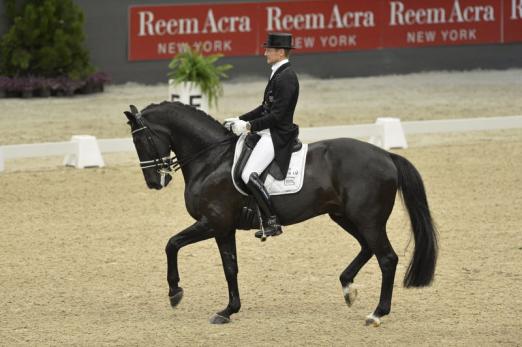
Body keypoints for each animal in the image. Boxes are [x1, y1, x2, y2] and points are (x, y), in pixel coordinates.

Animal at [124, 100, 436, 326]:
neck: (210, 160)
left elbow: (172, 244)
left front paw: (175, 293)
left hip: (368, 220)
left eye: (141, 141)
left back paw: (376, 313)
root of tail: (386, 155)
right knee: (367, 248)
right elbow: (230, 268)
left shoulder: (213, 222)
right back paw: (348, 288)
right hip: (345, 216)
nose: (154, 182)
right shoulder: (224, 228)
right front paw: (228, 310)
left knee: (387, 258)